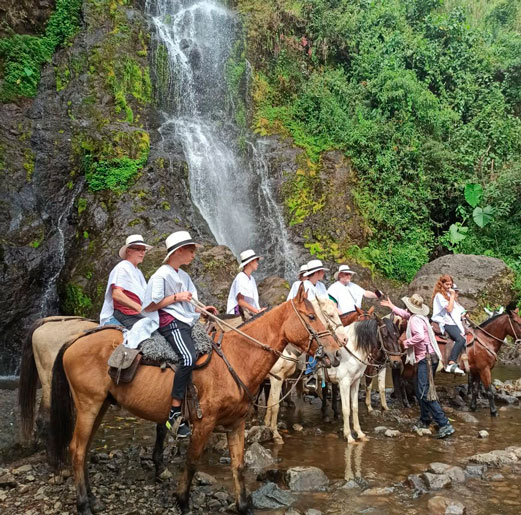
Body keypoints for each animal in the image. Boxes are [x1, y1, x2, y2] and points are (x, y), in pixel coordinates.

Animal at [46, 288, 340, 512]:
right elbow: (192, 462)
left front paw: (243, 505)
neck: (236, 358)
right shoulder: (203, 423)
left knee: (82, 450)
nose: (336, 354)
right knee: (77, 450)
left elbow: (238, 465)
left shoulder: (236, 424)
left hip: (101, 405)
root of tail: (75, 340)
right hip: (88, 405)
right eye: (312, 316)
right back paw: (84, 504)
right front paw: (182, 501)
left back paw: (91, 499)